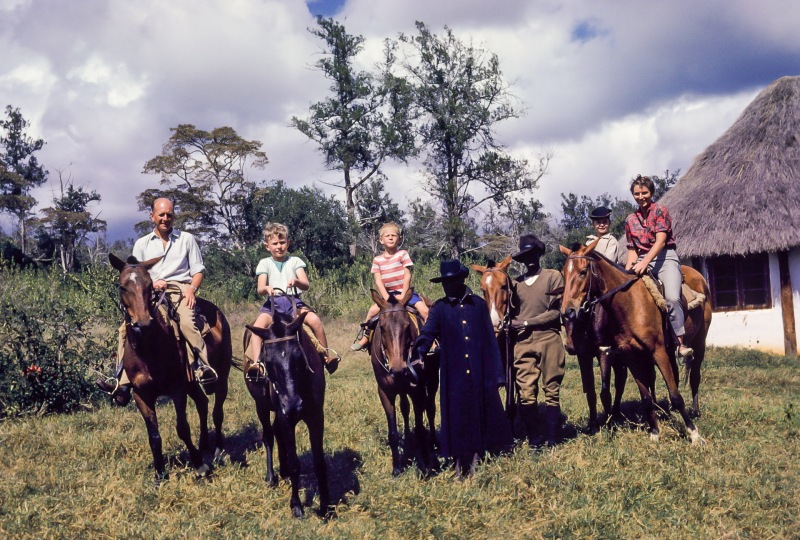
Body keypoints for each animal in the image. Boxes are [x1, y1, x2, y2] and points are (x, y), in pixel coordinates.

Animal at [108, 255, 231, 484]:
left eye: (149, 285)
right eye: (122, 286)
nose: (143, 323)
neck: (148, 348)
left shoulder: (177, 389)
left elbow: (182, 428)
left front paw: (200, 466)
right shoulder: (141, 395)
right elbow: (154, 436)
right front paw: (159, 474)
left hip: (222, 376)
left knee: (217, 411)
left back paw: (218, 451)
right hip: (192, 383)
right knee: (202, 403)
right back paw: (204, 446)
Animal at [245, 304, 330, 520]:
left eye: (299, 357)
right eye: (268, 362)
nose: (294, 406)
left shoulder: (316, 417)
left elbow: (319, 461)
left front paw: (326, 505)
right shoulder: (286, 417)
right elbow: (294, 464)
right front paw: (296, 506)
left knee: (276, 431)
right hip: (262, 406)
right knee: (268, 435)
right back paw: (271, 476)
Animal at [368, 288, 438, 474]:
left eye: (407, 326)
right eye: (382, 328)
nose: (398, 369)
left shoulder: (418, 390)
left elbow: (420, 427)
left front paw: (425, 465)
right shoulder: (385, 392)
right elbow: (393, 432)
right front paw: (397, 467)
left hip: (433, 381)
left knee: (430, 409)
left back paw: (433, 442)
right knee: (405, 409)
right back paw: (408, 441)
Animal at [560, 240, 708, 442]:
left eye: (583, 272)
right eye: (563, 273)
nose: (568, 311)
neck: (630, 304)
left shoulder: (656, 351)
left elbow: (675, 395)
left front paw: (693, 434)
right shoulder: (631, 356)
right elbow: (645, 397)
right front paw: (655, 432)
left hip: (699, 342)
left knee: (694, 377)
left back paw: (695, 412)